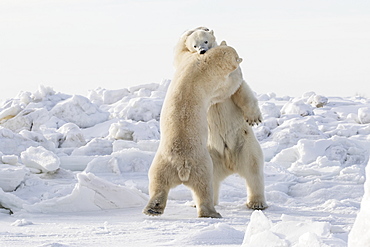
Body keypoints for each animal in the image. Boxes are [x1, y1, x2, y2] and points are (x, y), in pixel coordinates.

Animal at [144, 42, 243, 218]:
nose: (240, 57)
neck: (206, 63)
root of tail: (182, 167)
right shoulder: (214, 81)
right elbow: (226, 89)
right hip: (201, 165)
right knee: (204, 186)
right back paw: (212, 213)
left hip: (162, 165)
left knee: (159, 184)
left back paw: (152, 209)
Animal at [175, 27, 268, 210]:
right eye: (195, 45)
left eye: (206, 41)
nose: (202, 51)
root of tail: (229, 163)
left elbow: (241, 91)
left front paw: (254, 118)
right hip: (209, 154)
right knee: (208, 178)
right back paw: (200, 203)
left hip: (245, 145)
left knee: (253, 169)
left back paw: (256, 203)